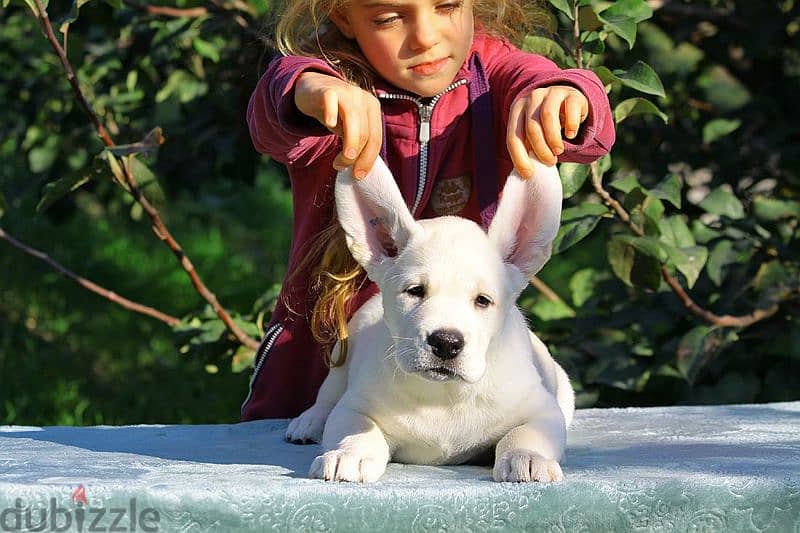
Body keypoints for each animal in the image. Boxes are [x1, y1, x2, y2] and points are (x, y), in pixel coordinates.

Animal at [284, 157, 572, 482]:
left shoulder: (542, 410)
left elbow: (525, 434)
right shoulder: (355, 408)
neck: (443, 394)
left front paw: (528, 457)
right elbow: (358, 430)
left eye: (483, 300)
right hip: (343, 352)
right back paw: (310, 420)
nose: (446, 342)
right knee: (329, 395)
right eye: (415, 291)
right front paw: (349, 454)